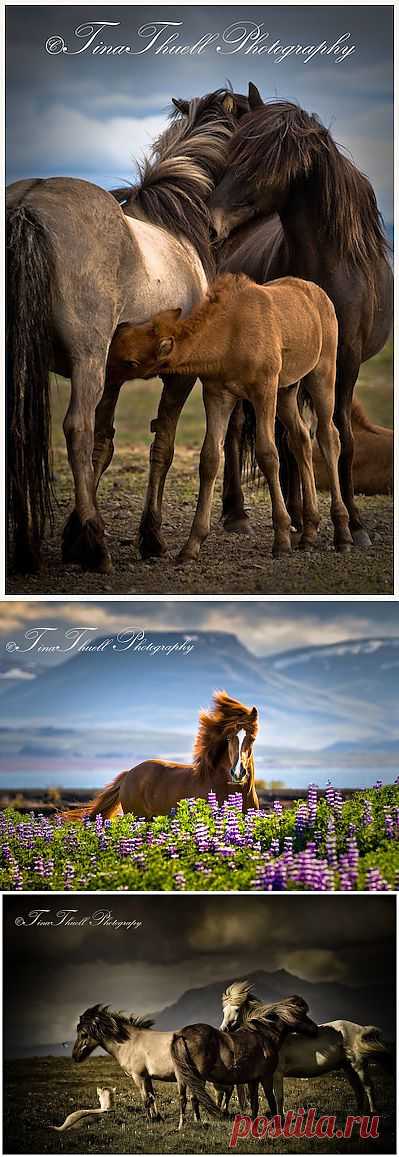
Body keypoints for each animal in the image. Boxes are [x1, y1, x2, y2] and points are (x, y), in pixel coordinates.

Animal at [108, 271, 351, 559]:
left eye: (130, 362)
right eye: (119, 335)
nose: (105, 375)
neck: (227, 339)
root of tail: (321, 295)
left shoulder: (264, 388)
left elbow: (268, 454)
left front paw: (281, 538)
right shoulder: (218, 394)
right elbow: (210, 457)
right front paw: (191, 545)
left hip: (322, 372)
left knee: (328, 435)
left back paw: (343, 532)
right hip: (287, 389)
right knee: (300, 436)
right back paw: (310, 531)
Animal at [218, 981, 390, 1115]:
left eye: (237, 1009)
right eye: (224, 1011)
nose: (223, 1029)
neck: (267, 1036)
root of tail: (360, 1029)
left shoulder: (276, 1075)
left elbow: (278, 1097)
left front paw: (281, 1118)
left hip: (358, 1065)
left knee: (368, 1087)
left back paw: (373, 1111)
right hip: (347, 1067)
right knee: (357, 1088)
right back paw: (358, 1112)